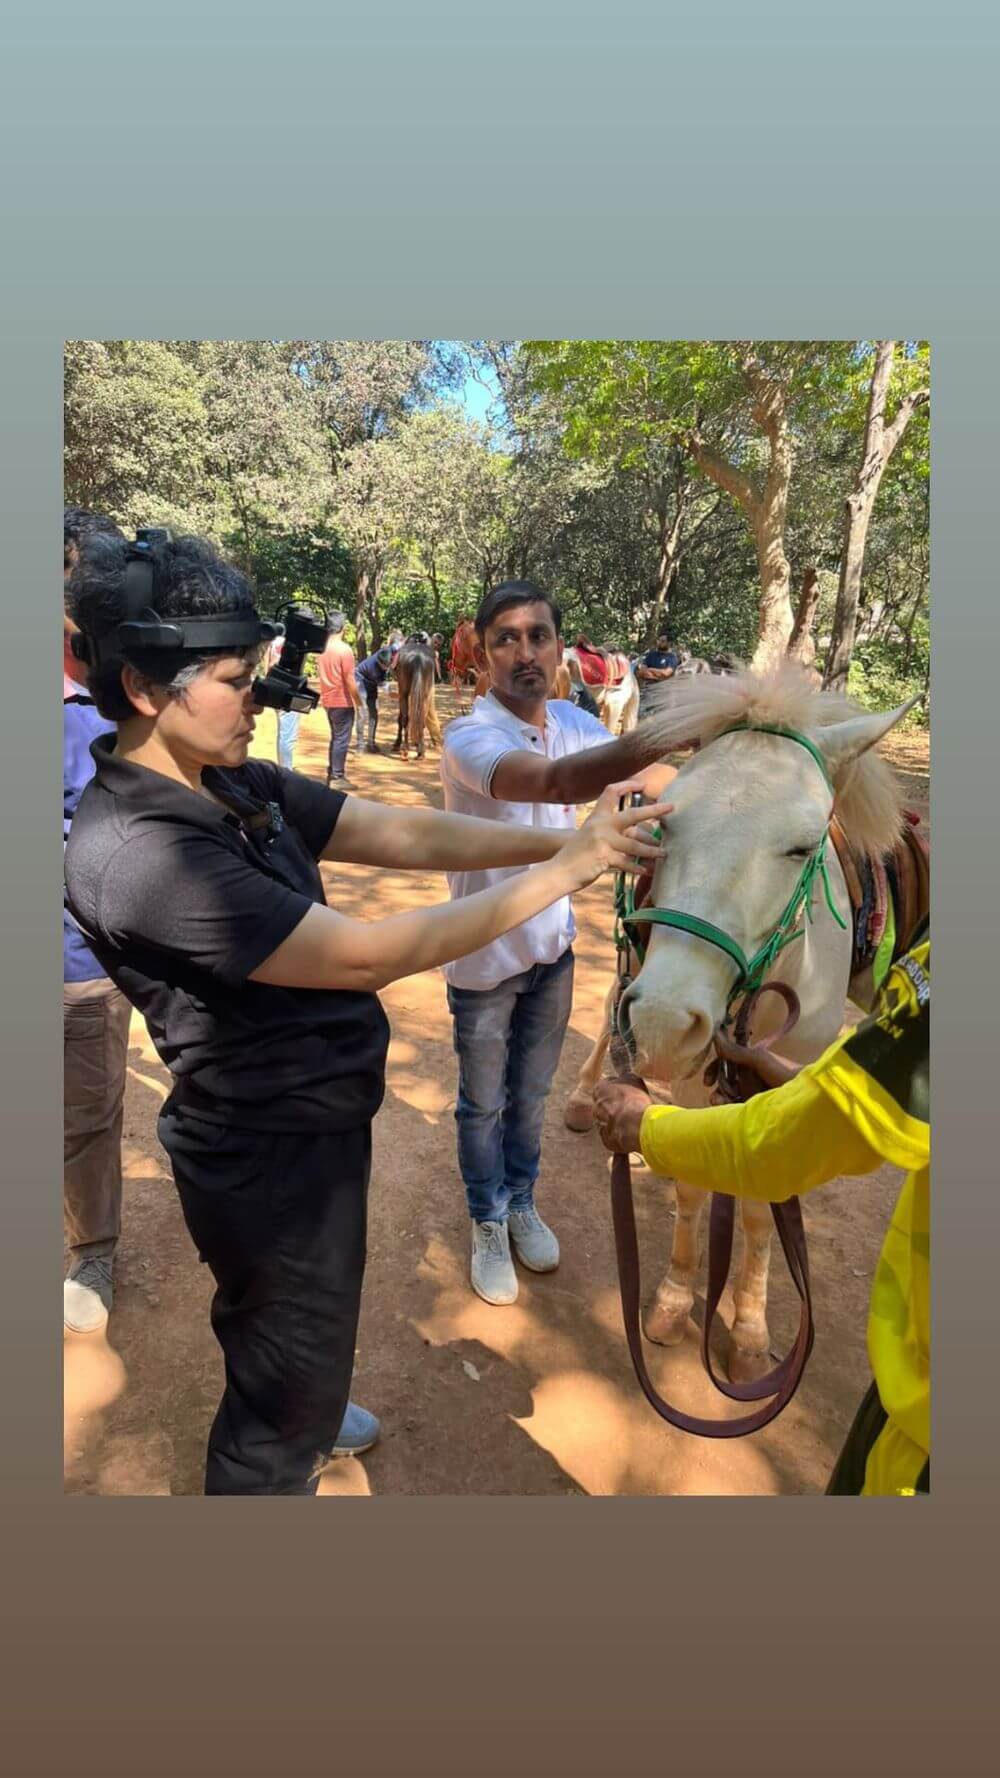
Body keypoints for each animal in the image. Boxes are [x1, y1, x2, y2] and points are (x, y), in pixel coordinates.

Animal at [562, 661, 911, 1379]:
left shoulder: (783, 1088)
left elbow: (757, 1210)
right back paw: (586, 1093)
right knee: (610, 1008)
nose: (666, 1021)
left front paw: (748, 1330)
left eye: (804, 846)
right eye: (665, 827)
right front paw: (673, 1303)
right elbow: (696, 1190)